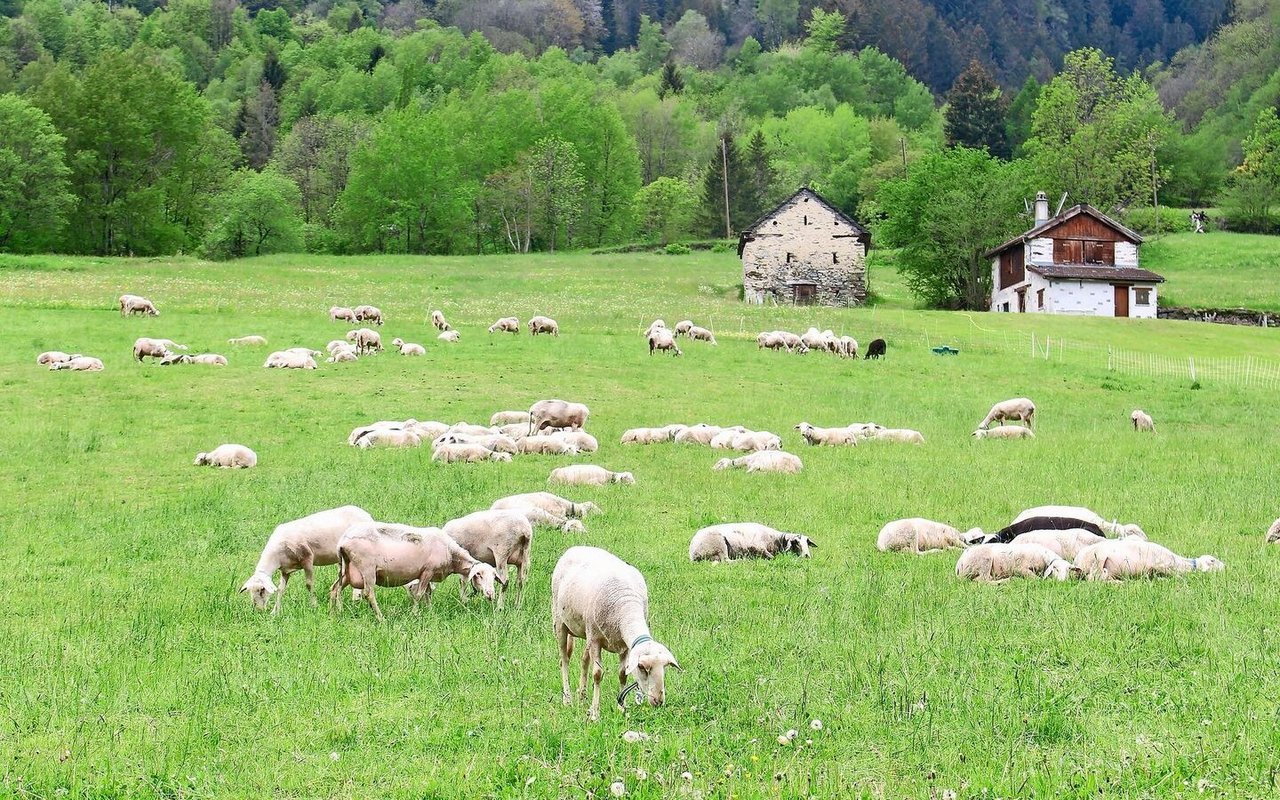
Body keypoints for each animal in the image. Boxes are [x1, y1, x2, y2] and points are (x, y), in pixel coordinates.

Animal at [239, 505, 374, 612]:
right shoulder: (285, 570)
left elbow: (309, 584)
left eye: (262, 590)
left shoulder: (307, 559)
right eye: (250, 591)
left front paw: (314, 606)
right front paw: (275, 612)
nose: (258, 610)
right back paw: (356, 600)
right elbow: (281, 590)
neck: (276, 557)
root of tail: (367, 515)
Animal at [329, 523, 501, 621]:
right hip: (367, 568)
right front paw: (415, 614)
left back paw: (336, 612)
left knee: (335, 588)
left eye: (494, 577)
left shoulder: (428, 574)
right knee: (368, 593)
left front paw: (430, 611)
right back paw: (380, 618)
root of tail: (342, 541)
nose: (491, 595)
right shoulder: (427, 571)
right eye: (478, 575)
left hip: (347, 569)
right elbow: (420, 594)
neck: (452, 554)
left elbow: (428, 594)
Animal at [551, 546, 680, 720]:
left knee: (584, 659)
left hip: (586, 631)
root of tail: (576, 547)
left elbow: (622, 674)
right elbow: (597, 674)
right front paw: (595, 713)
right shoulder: (596, 640)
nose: (658, 701)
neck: (626, 607)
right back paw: (567, 699)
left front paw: (621, 708)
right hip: (560, 621)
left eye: (664, 667)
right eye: (641, 667)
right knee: (564, 659)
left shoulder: (624, 646)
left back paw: (582, 696)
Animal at [1073, 540, 1223, 581]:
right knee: (1094, 579)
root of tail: (1077, 561)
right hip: (1099, 557)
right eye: (1212, 560)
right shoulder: (1161, 565)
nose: (1225, 566)